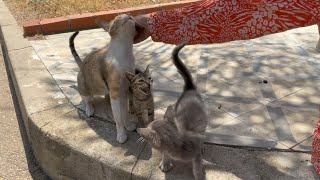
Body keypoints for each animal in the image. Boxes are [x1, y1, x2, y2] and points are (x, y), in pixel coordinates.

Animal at [136, 43, 206, 180]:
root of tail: (189, 89)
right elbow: (165, 153)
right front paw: (165, 162)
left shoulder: (195, 152)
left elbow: (197, 163)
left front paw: (199, 174)